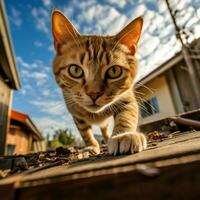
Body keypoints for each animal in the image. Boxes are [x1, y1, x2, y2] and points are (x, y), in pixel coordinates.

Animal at [51, 9, 147, 155]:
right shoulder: (75, 112)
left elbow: (126, 117)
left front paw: (123, 135)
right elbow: (85, 132)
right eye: (75, 70)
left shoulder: (127, 99)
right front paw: (92, 146)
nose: (94, 94)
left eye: (114, 71)